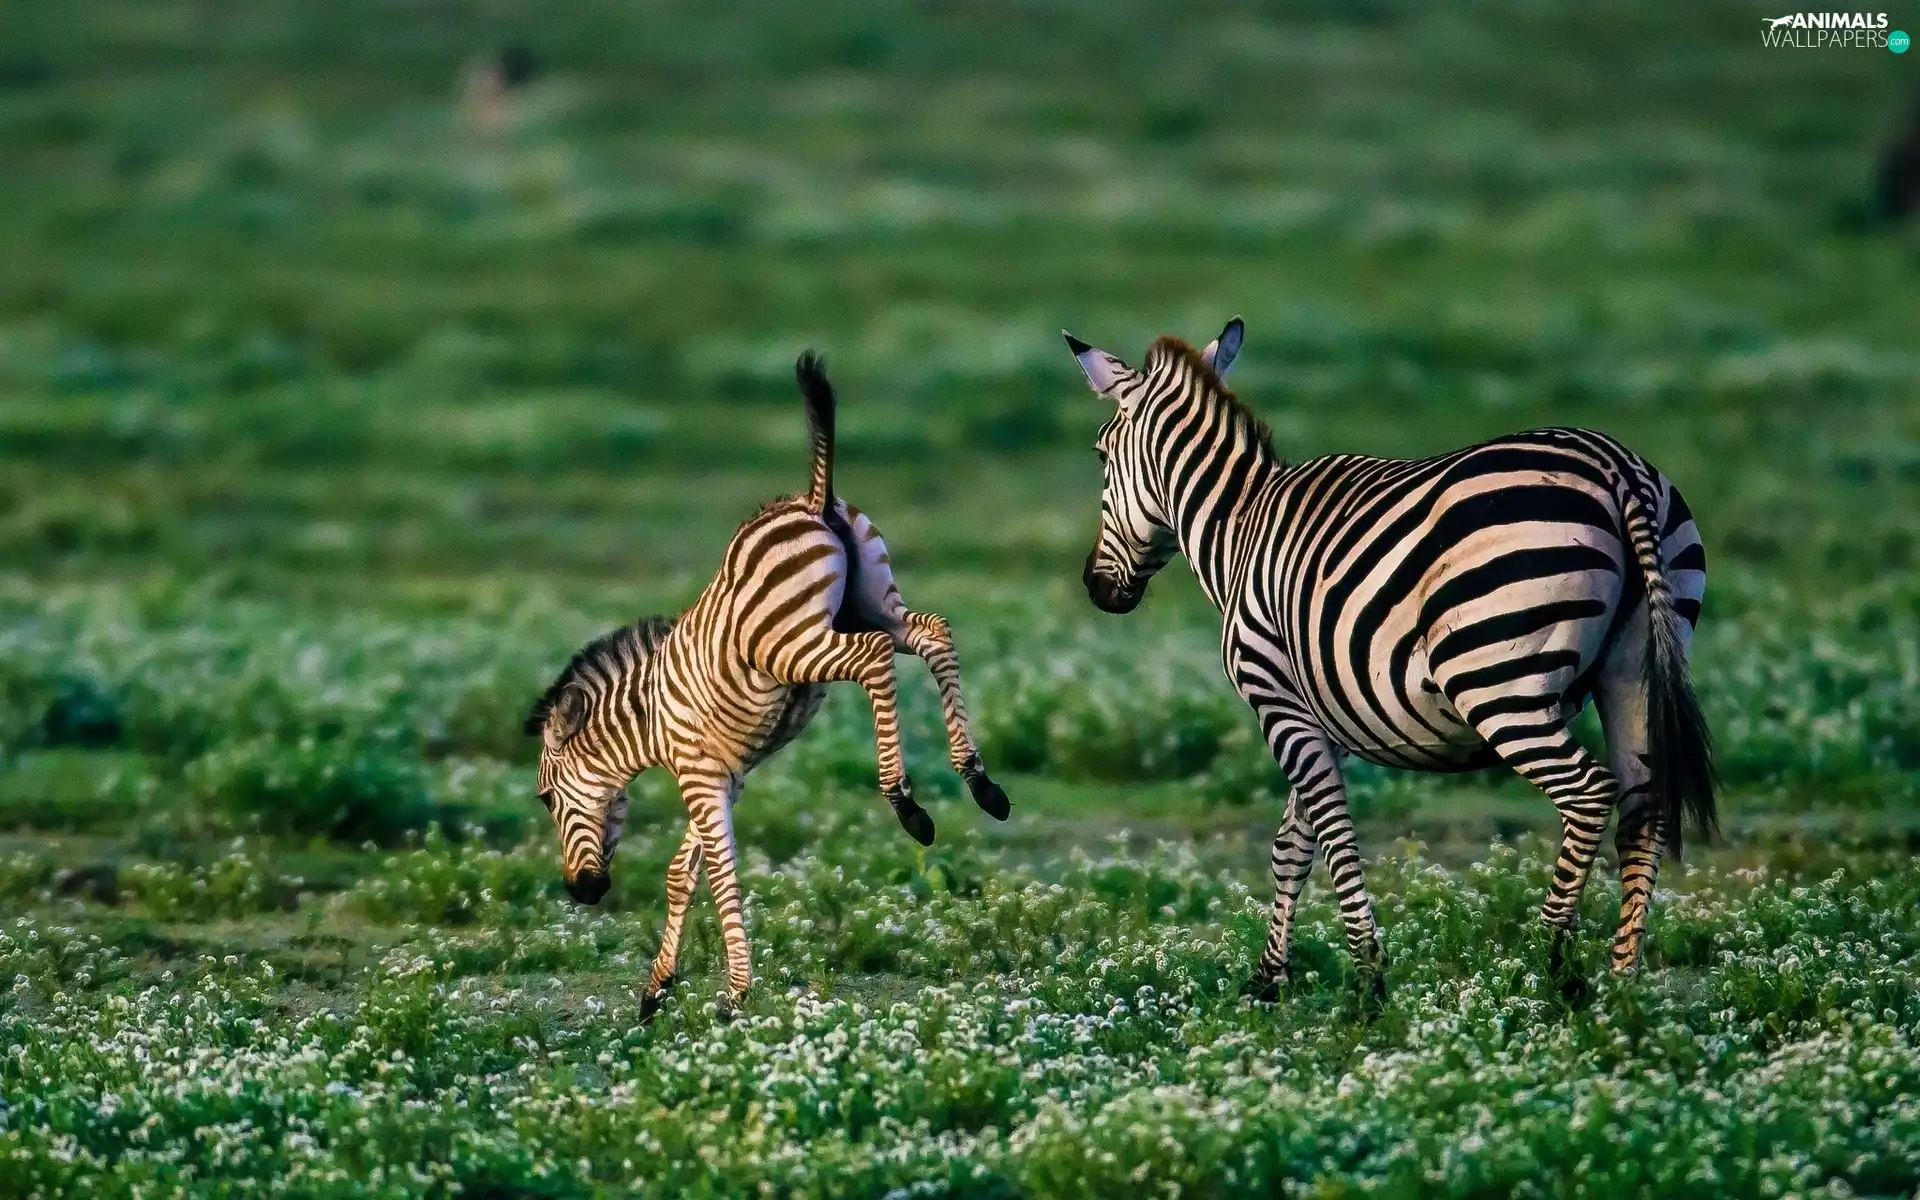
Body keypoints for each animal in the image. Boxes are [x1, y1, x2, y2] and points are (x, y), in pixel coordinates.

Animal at [525, 351, 1011, 1017]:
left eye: (547, 799)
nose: (583, 892)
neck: (650, 721)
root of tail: (812, 499)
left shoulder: (700, 777)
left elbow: (720, 874)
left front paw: (734, 994)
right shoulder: (725, 777)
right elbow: (682, 872)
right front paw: (657, 988)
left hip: (793, 644)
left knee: (874, 658)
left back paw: (907, 803)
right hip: (874, 603)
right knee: (934, 634)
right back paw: (980, 782)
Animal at [1061, 319, 1715, 1002]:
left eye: (1101, 456)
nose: (1096, 589)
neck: (1238, 527)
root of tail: (1617, 469)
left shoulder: (1277, 696)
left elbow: (1330, 828)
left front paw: (1366, 978)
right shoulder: (1327, 710)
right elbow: (1292, 843)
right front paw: (1270, 980)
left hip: (1496, 679)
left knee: (1589, 793)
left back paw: (1549, 966)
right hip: (1635, 669)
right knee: (1643, 808)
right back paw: (1622, 984)